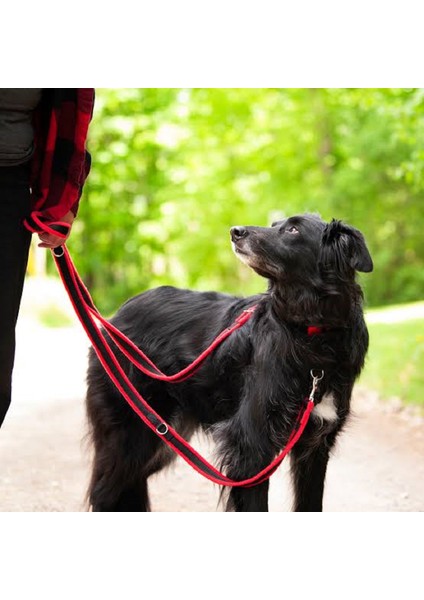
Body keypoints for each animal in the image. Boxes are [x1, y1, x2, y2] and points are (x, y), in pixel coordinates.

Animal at [85, 212, 372, 510]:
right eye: (274, 225)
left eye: (293, 230)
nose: (235, 231)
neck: (312, 335)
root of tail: (118, 314)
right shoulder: (251, 447)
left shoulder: (315, 445)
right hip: (129, 435)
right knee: (104, 492)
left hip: (163, 435)